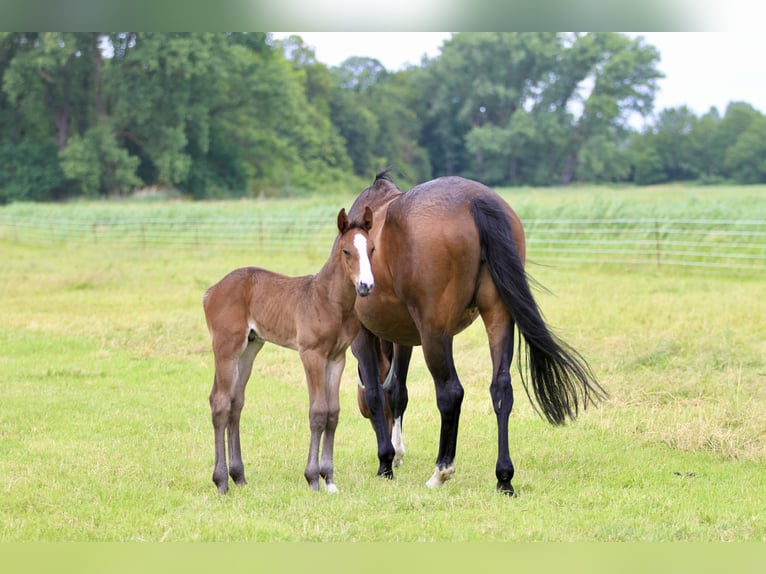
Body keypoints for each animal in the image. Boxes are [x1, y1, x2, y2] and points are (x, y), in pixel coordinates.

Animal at [202, 207, 374, 494]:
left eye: (372, 248)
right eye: (346, 251)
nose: (366, 286)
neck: (329, 301)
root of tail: (212, 290)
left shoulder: (336, 358)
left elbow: (333, 413)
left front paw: (330, 480)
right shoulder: (311, 354)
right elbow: (318, 412)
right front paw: (313, 479)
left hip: (249, 349)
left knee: (236, 403)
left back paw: (239, 476)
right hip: (226, 348)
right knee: (221, 403)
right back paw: (222, 481)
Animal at [348, 171, 606, 494]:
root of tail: (475, 200)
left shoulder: (364, 335)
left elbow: (375, 392)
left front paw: (386, 462)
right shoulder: (403, 337)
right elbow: (397, 392)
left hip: (435, 333)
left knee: (450, 393)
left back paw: (441, 471)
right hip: (498, 316)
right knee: (501, 389)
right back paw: (504, 478)